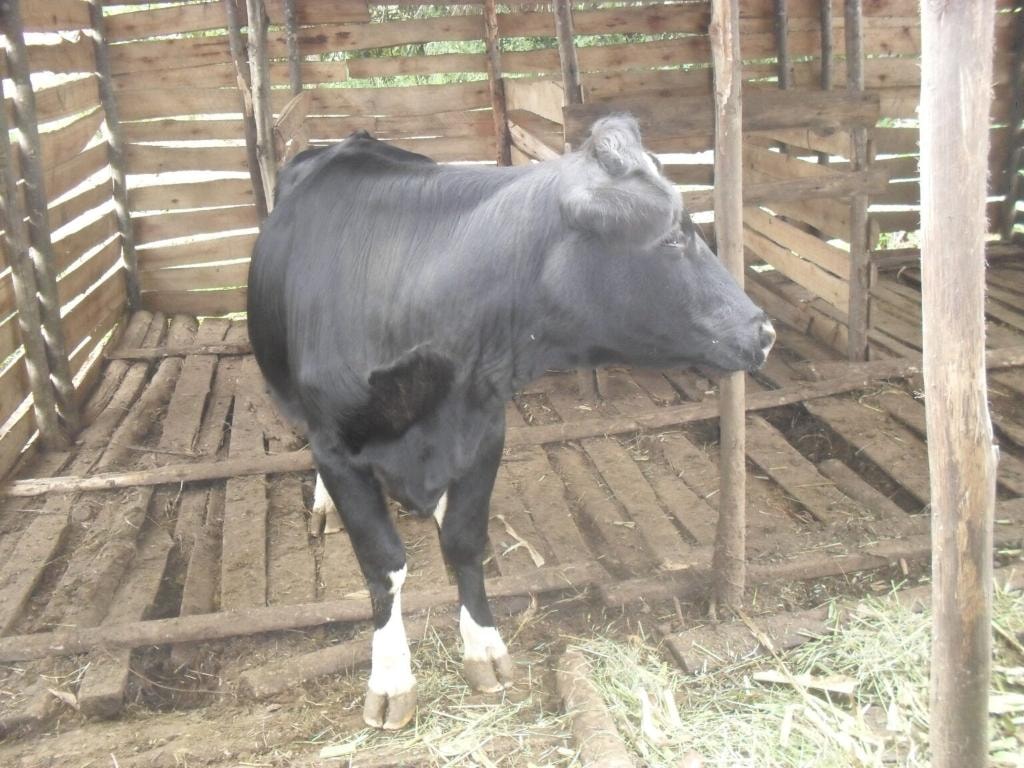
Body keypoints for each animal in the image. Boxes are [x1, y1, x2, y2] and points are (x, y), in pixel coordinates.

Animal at [247, 115, 775, 730]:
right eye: (672, 237)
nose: (764, 331)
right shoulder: (337, 447)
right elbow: (383, 565)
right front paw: (391, 678)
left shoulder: (485, 431)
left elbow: (464, 540)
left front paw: (483, 647)